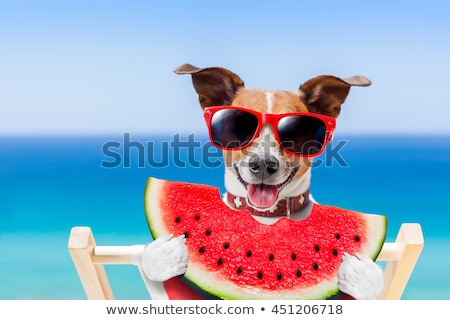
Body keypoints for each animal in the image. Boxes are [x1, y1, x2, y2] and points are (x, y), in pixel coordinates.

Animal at [142, 63, 384, 300]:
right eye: (236, 125)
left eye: (297, 130)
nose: (264, 164)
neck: (265, 216)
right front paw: (162, 255)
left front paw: (363, 276)